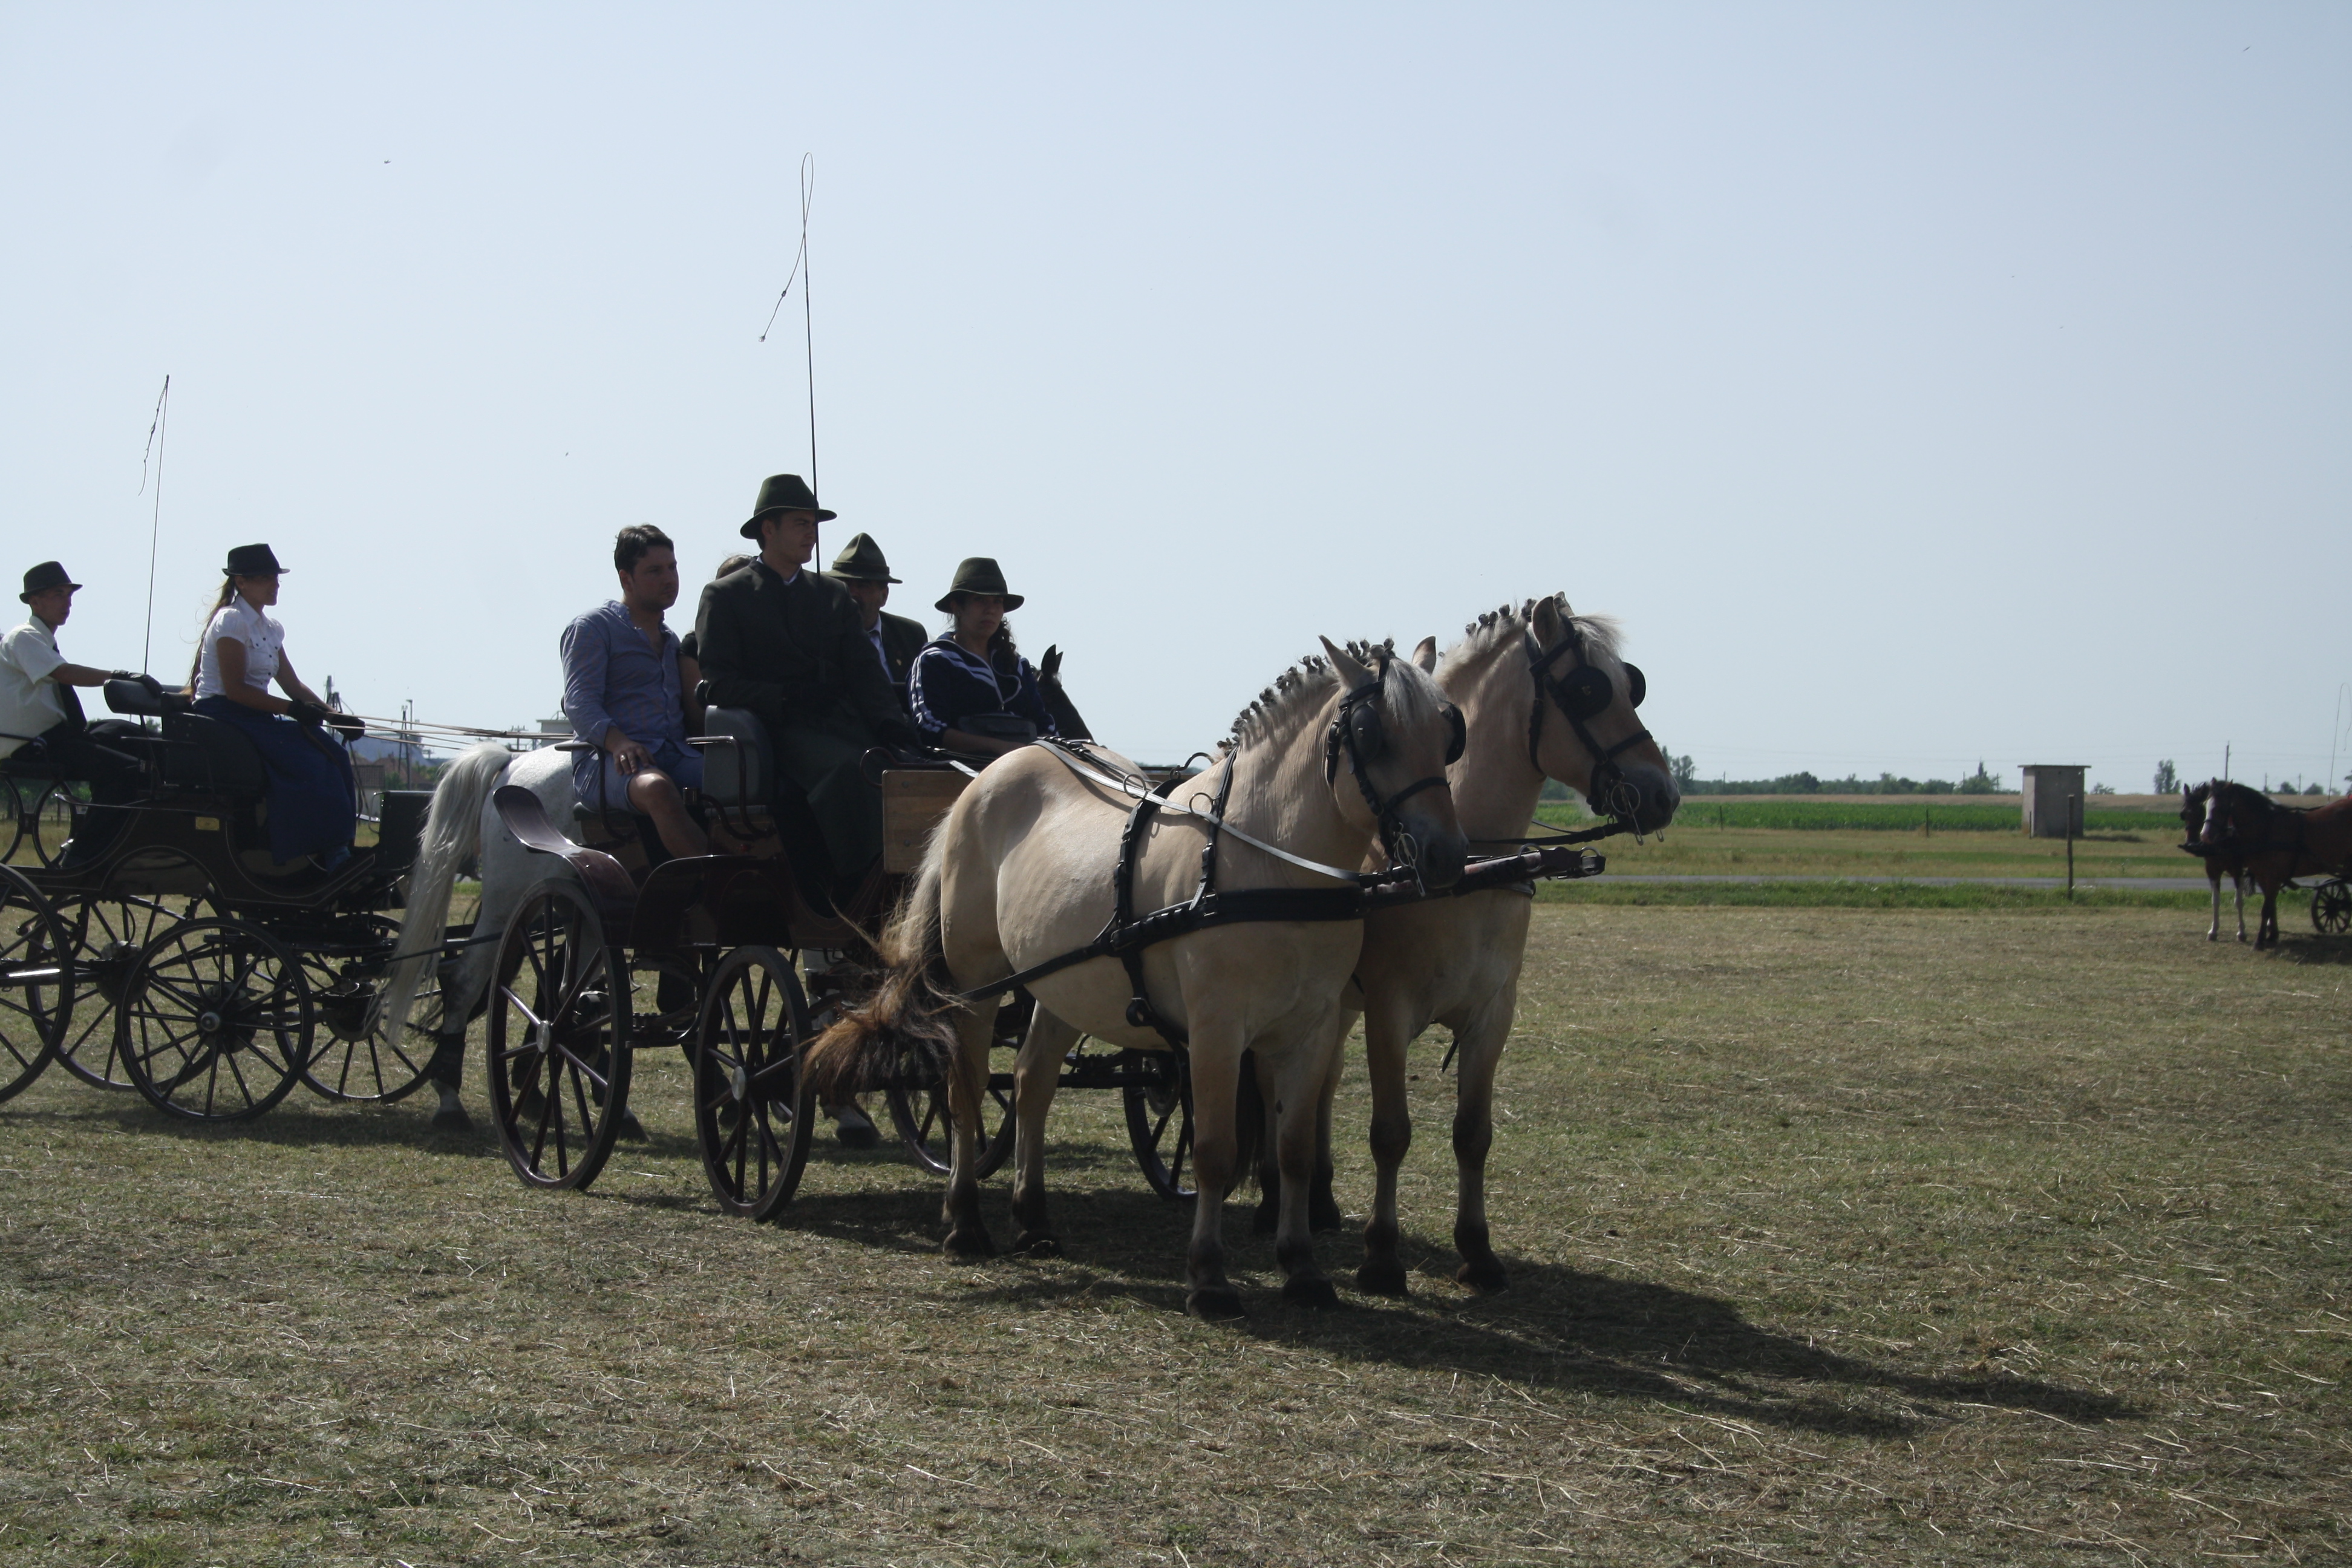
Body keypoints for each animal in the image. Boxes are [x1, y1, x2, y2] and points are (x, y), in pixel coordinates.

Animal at [804, 639, 1470, 1317]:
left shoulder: (1311, 1030)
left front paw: (1303, 1268)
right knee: (964, 1091)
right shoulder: (1215, 1031)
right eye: (1370, 733)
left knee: (1032, 1082)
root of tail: (986, 778)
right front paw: (1209, 1277)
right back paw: (965, 1222)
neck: (1267, 864)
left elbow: (1294, 1154)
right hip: (975, 984)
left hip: (1064, 985)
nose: (1446, 857)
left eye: (1450, 732)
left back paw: (1034, 1218)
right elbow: (1214, 1153)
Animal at [1285, 595, 1677, 1294]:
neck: (1471, 869)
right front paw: (1381, 1257)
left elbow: (1474, 1133)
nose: (1664, 793)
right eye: (1589, 689)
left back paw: (1321, 1202)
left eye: (1631, 683)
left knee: (1322, 1083)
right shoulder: (1389, 1012)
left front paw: (1478, 1250)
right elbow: (1391, 1133)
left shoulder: (1494, 1013)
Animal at [2194, 779, 2352, 949]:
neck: (2266, 829)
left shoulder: (2272, 876)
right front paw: (2272, 936)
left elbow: (2266, 908)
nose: (2205, 836)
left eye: (2221, 807)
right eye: (2206, 804)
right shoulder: (2262, 876)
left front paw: (2260, 941)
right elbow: (2271, 906)